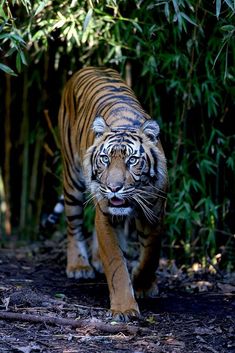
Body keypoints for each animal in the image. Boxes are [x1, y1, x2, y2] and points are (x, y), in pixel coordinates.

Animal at [58, 64, 169, 320]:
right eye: (105, 159)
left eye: (132, 160)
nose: (113, 187)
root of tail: (90, 66)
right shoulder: (105, 214)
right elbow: (116, 263)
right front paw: (125, 308)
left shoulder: (155, 213)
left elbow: (150, 254)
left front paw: (143, 283)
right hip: (72, 179)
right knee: (73, 224)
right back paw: (79, 266)